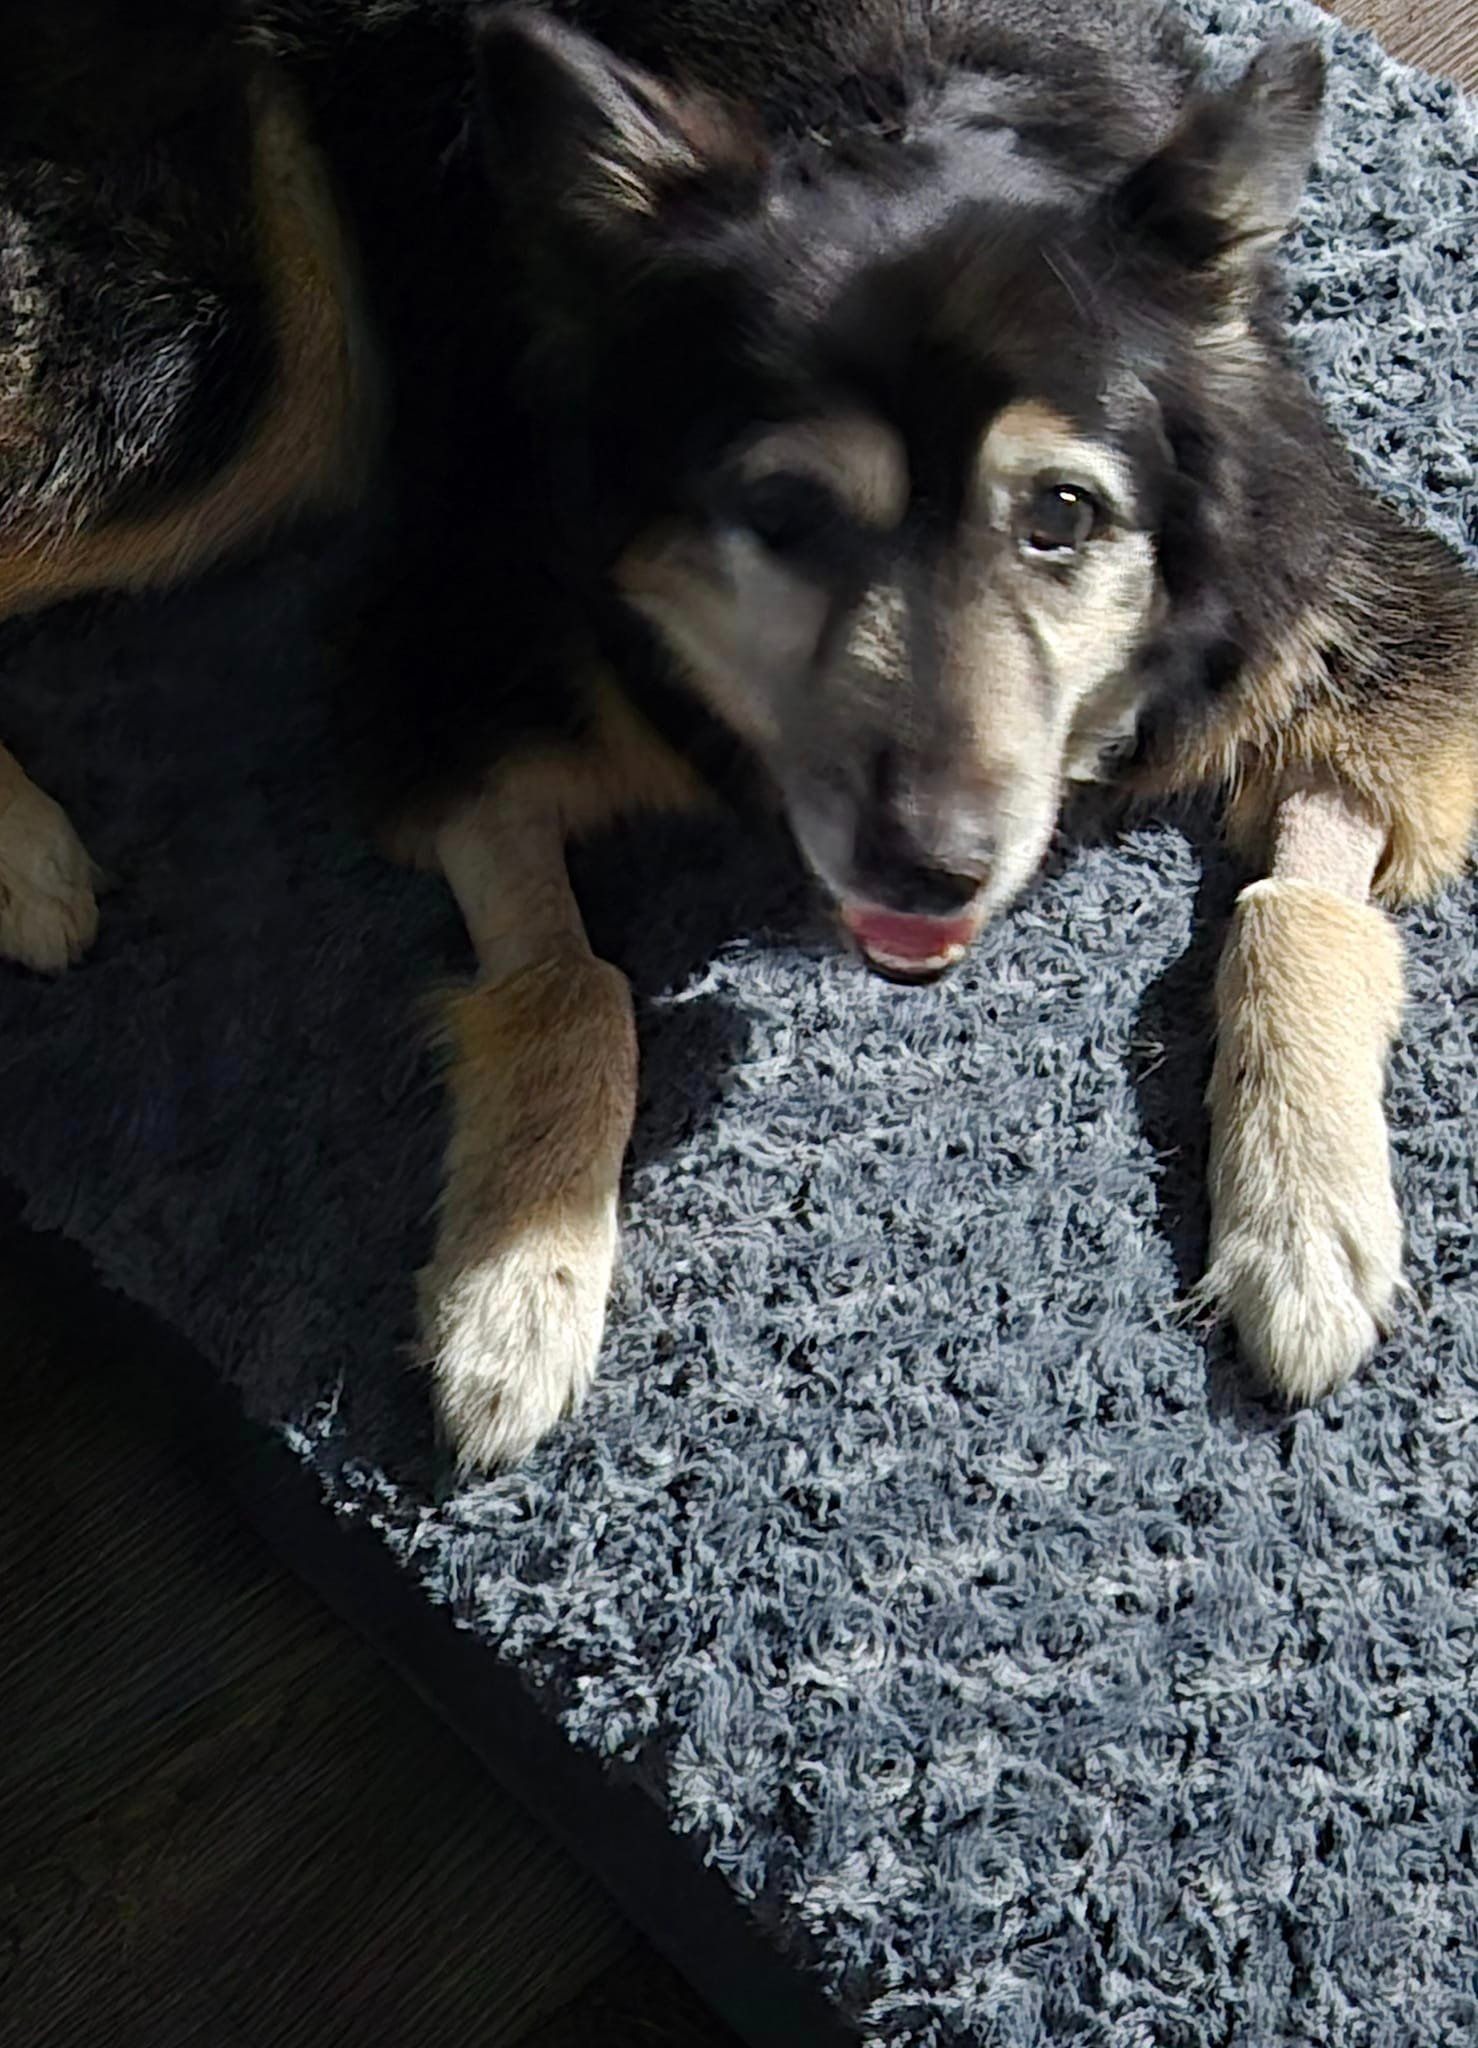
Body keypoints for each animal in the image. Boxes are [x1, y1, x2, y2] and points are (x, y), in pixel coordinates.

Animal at [2, 0, 1473, 1474]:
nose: (929, 869)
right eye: (781, 513)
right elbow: (572, 978)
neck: (899, 96)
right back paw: (29, 864)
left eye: (1060, 512)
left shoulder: (1330, 593)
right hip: (236, 362)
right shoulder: (448, 649)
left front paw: (1305, 1218)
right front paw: (515, 1288)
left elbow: (1301, 901)